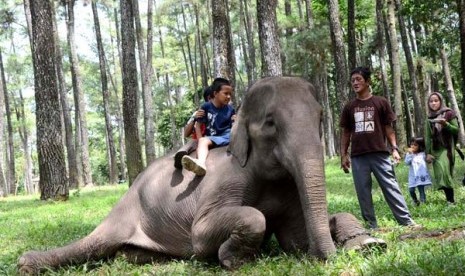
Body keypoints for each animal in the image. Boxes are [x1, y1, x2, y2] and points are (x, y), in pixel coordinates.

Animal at [17, 76, 384, 274]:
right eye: (270, 123)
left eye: (322, 117)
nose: (330, 259)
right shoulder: (228, 181)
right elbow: (207, 232)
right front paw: (233, 260)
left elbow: (295, 239)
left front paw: (368, 242)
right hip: (123, 215)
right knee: (93, 244)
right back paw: (25, 265)